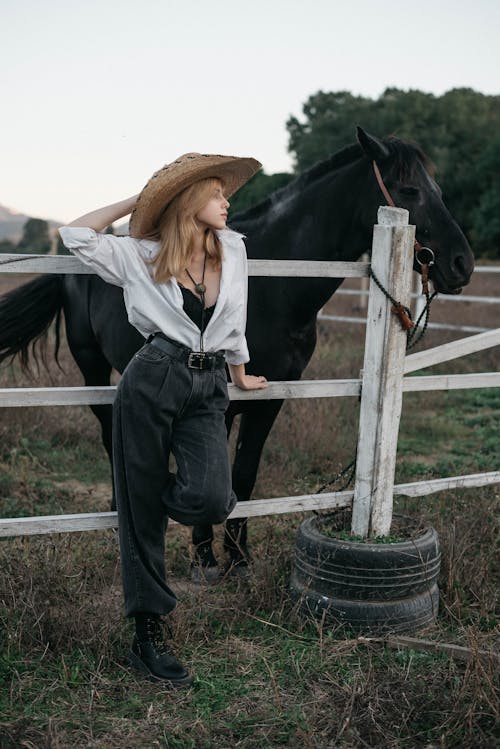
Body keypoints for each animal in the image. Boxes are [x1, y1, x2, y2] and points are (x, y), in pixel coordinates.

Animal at [0, 129, 472, 568]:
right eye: (409, 190)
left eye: (438, 189)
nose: (461, 264)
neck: (275, 287)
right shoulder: (223, 403)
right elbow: (215, 473)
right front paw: (205, 556)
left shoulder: (271, 395)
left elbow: (244, 474)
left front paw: (239, 556)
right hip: (91, 368)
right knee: (108, 435)